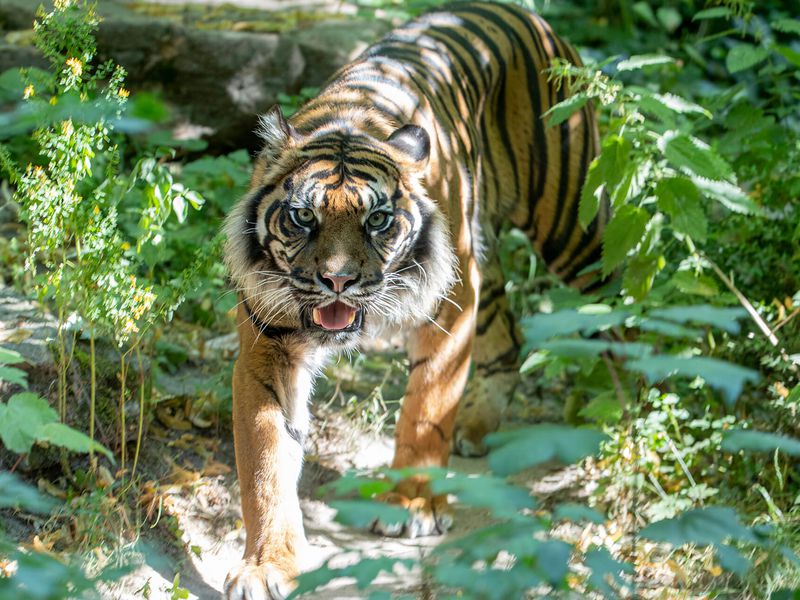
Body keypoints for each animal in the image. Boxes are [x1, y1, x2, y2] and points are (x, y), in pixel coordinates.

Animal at [220, 2, 608, 596]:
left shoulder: (448, 311)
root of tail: (529, 16)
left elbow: (426, 408)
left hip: (572, 226)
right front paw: (267, 565)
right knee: (509, 336)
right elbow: (265, 462)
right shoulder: (268, 345)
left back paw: (628, 413)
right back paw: (477, 426)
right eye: (303, 216)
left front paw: (411, 506)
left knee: (628, 307)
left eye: (377, 220)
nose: (337, 281)